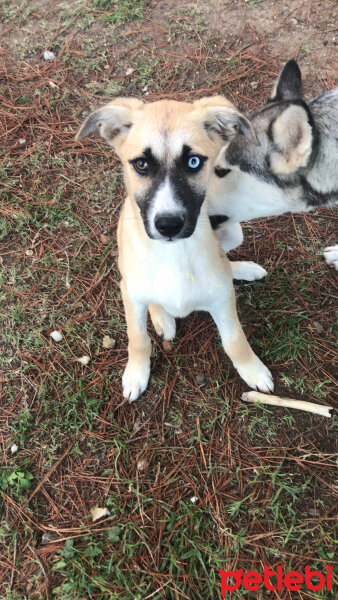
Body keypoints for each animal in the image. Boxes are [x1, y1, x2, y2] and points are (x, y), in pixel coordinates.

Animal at [75, 96, 274, 400]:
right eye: (141, 164)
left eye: (193, 162)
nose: (168, 224)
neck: (174, 254)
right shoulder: (131, 296)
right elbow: (138, 339)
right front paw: (136, 374)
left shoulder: (222, 301)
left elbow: (235, 341)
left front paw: (253, 370)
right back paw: (163, 319)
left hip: (233, 231)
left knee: (226, 260)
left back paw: (242, 269)